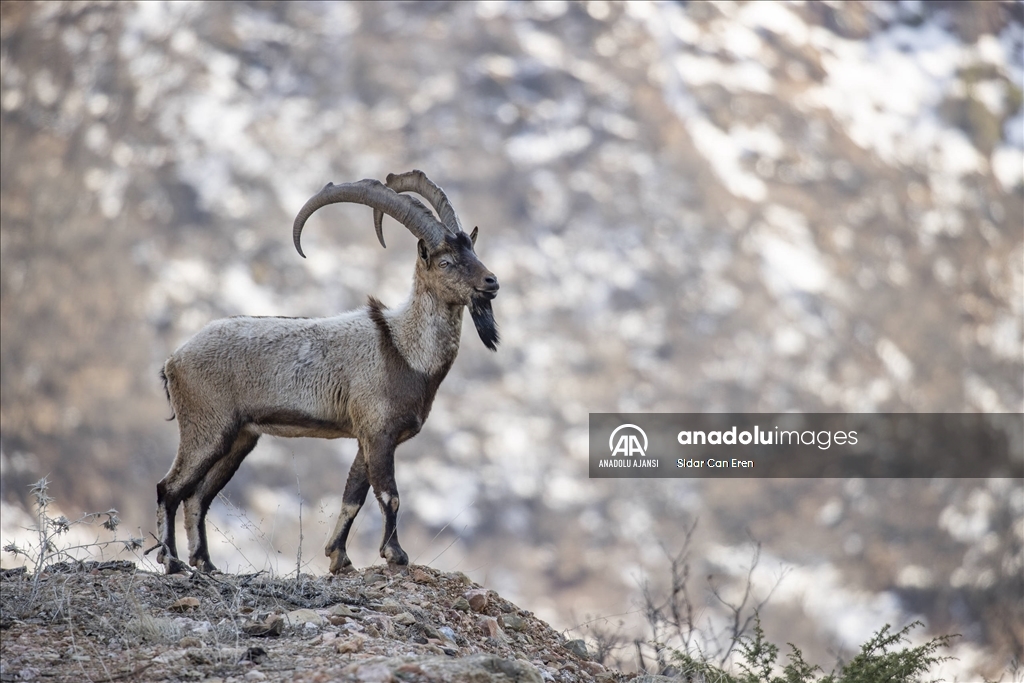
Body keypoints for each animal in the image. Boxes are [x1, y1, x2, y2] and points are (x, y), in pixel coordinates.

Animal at [150, 169, 499, 573]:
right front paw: (395, 553)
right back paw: (173, 560)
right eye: (445, 262)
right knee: (169, 488)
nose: (491, 282)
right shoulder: (378, 432)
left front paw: (339, 556)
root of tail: (173, 361)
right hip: (206, 428)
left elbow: (353, 496)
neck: (405, 349)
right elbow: (389, 495)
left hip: (238, 439)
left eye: (473, 251)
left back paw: (205, 563)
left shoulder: (366, 438)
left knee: (198, 496)